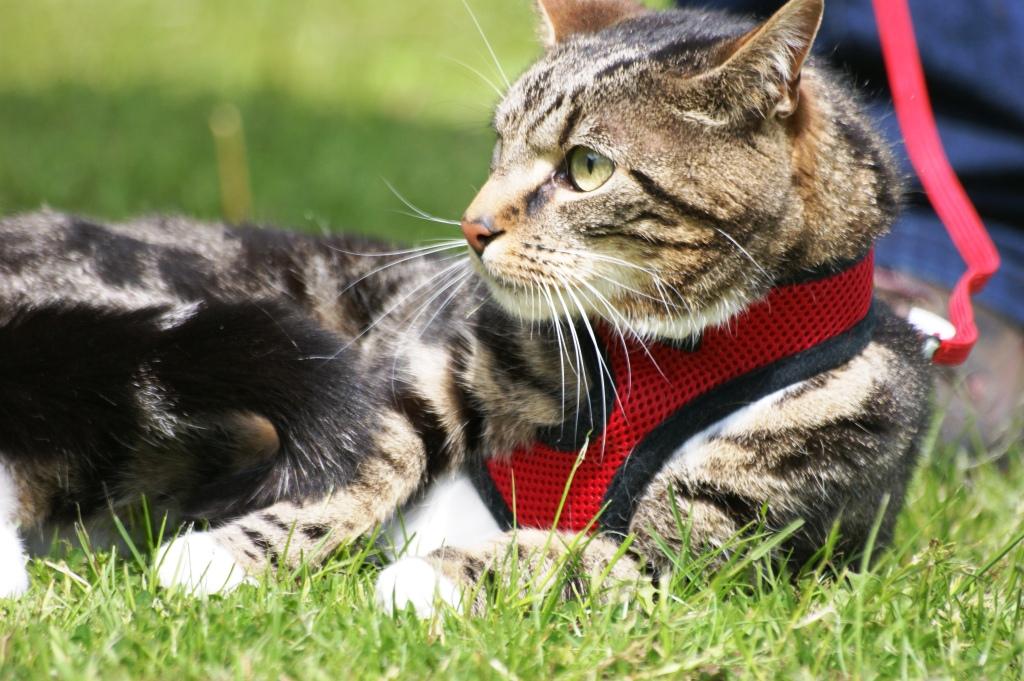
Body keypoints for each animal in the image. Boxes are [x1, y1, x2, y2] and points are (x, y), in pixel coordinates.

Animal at [0, 0, 933, 610]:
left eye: (586, 167)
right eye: (500, 145)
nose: (474, 225)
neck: (658, 349)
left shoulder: (739, 537)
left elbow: (595, 555)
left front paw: (438, 571)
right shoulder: (436, 362)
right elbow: (365, 451)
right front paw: (230, 553)